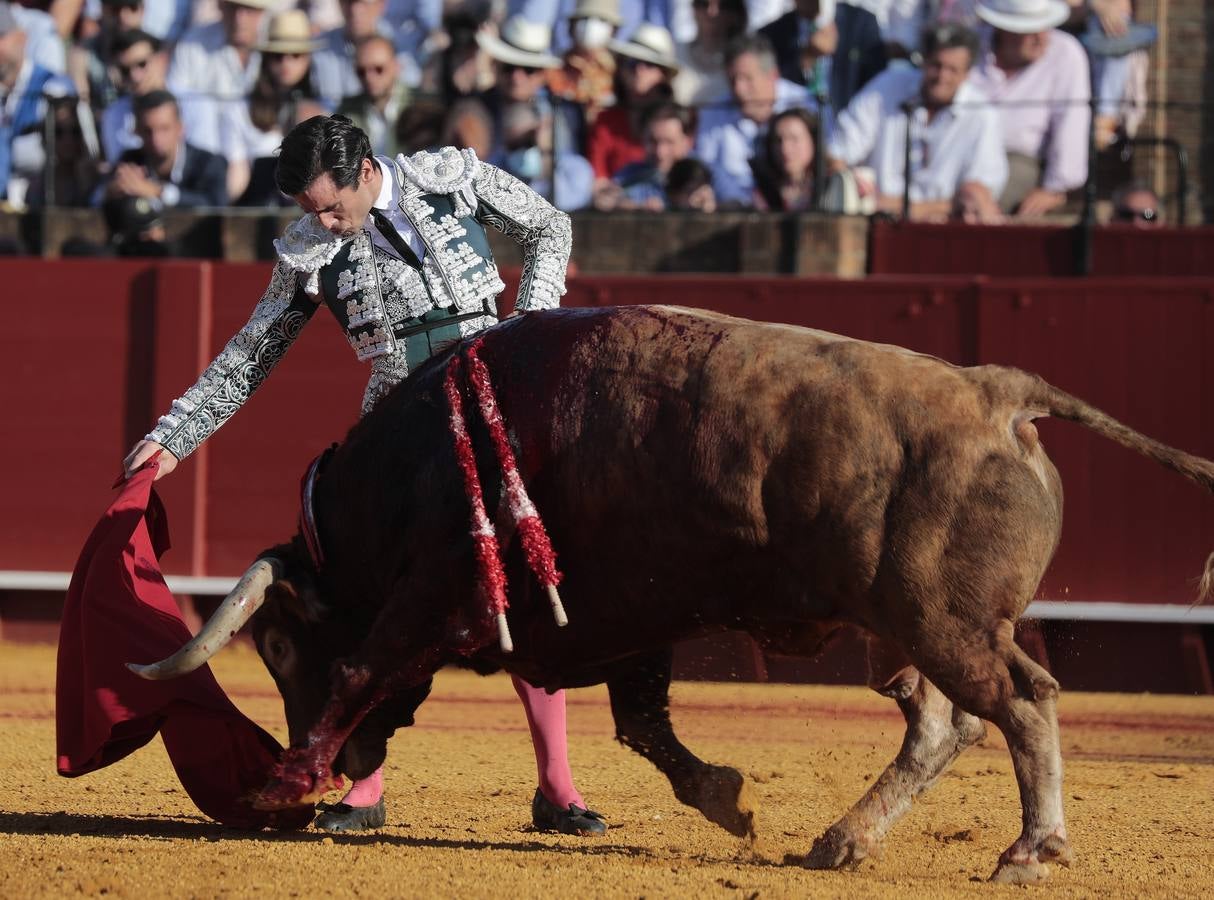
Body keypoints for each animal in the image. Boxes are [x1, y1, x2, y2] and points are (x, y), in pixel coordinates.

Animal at [130, 304, 1214, 879]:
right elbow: (642, 725)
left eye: (277, 650)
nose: (339, 766)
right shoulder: (621, 620)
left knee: (1022, 701)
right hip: (896, 627)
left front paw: (279, 781)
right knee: (941, 723)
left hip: (943, 620)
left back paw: (1031, 848)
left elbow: (362, 665)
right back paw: (839, 840)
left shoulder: (434, 591)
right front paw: (728, 800)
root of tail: (997, 391)